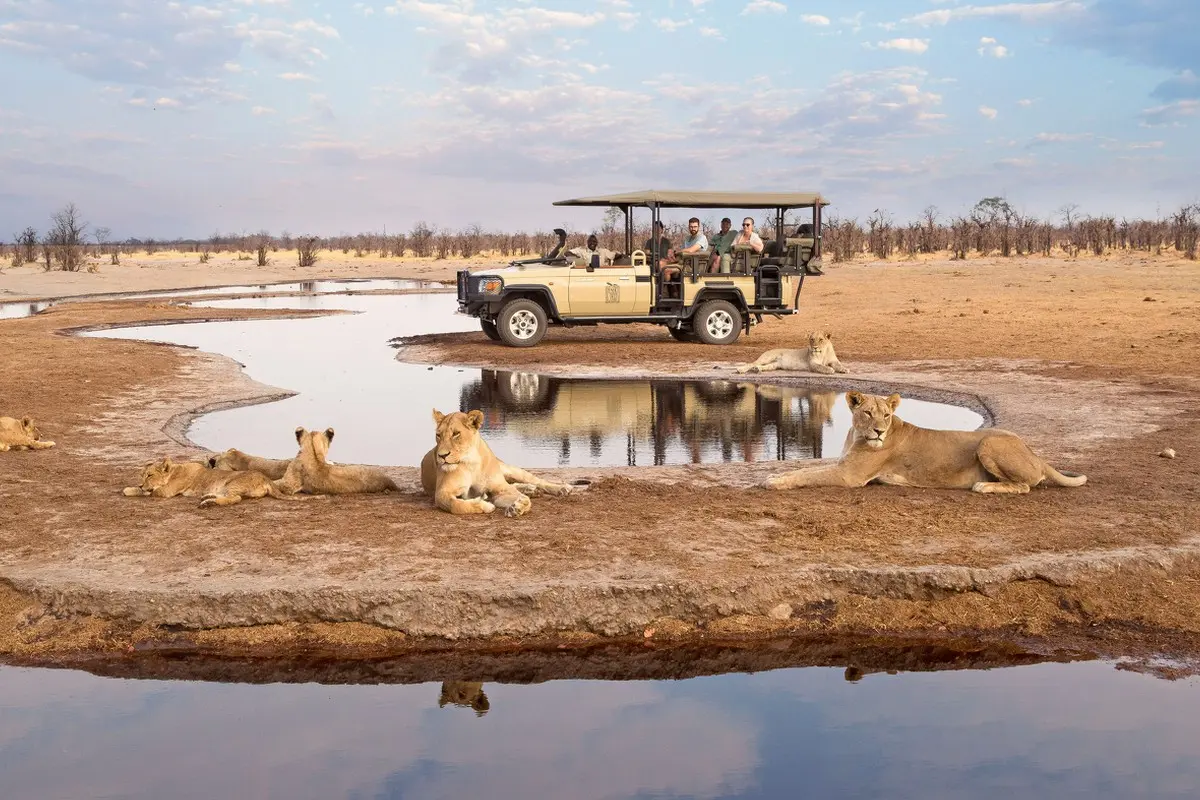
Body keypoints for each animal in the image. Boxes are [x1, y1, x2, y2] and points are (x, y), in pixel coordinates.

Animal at [122, 456, 311, 508]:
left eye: (149, 475)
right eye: (142, 475)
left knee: (235, 499)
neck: (175, 470)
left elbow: (150, 492)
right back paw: (207, 499)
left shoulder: (166, 492)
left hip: (233, 483)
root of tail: (266, 478)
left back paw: (209, 503)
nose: (140, 483)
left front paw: (130, 489)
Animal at [421, 409, 576, 517]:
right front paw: (485, 505)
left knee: (537, 480)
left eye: (456, 434)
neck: (471, 463)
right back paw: (532, 490)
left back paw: (561, 488)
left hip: (510, 470)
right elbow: (457, 505)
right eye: (438, 435)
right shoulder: (442, 493)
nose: (442, 455)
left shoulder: (499, 490)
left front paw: (518, 506)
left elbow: (523, 499)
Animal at [762, 391, 1087, 494]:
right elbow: (807, 469)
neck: (857, 434)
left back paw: (984, 486)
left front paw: (774, 481)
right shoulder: (844, 465)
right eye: (868, 412)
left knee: (1025, 485)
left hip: (988, 444)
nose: (879, 432)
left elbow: (806, 474)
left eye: (887, 415)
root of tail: (1035, 453)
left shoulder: (849, 475)